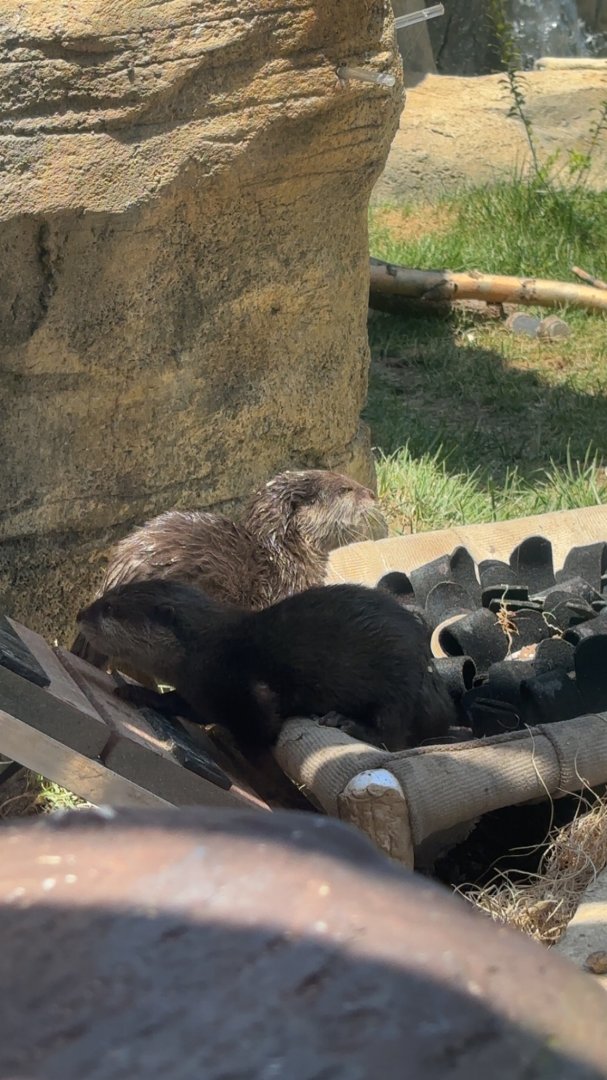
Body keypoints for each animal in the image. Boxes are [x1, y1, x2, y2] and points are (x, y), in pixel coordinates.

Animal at [76, 579, 455, 753]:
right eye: (108, 595)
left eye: (109, 608)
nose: (80, 614)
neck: (205, 654)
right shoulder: (201, 692)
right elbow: (178, 704)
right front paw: (135, 691)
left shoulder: (241, 686)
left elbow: (262, 723)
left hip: (398, 683)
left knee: (393, 735)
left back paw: (345, 722)